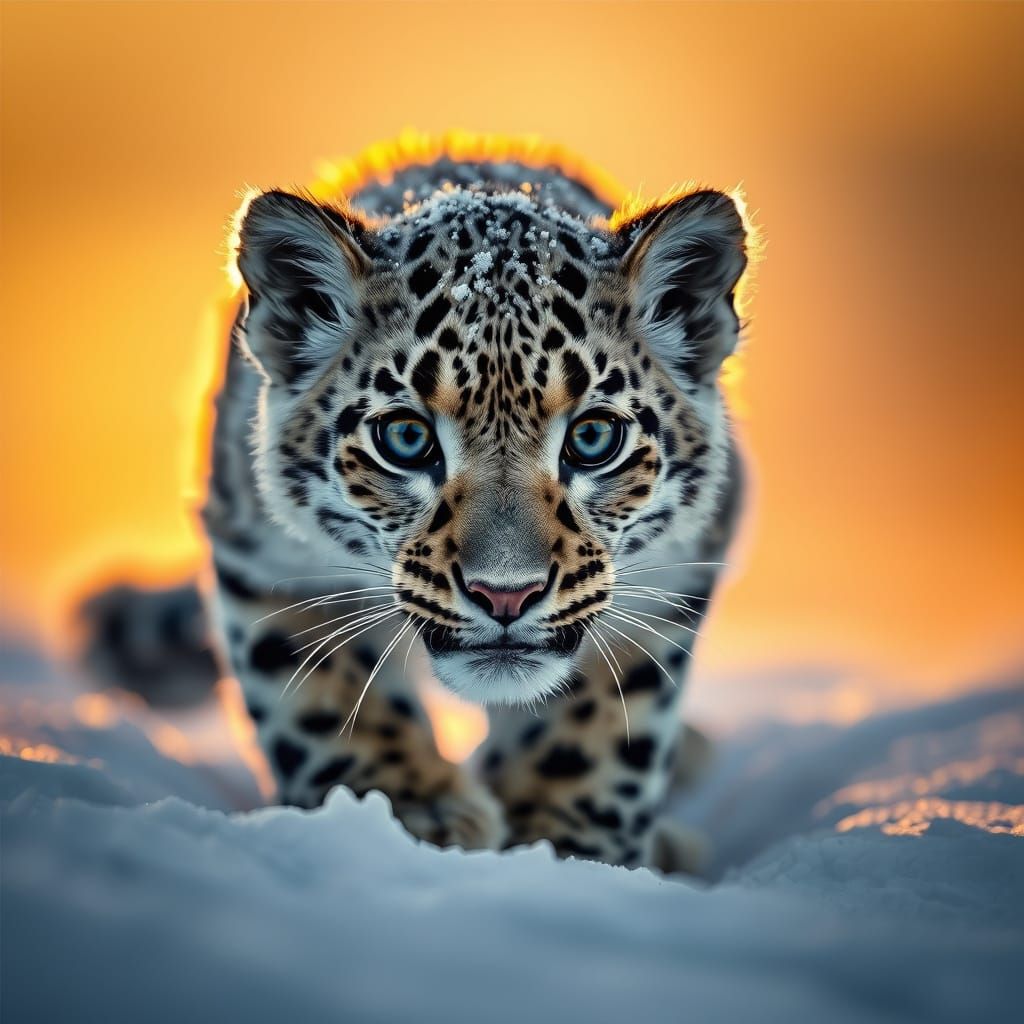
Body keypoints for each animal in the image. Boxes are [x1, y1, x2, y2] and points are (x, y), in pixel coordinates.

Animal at [84, 135, 750, 873]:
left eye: (593, 438)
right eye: (405, 439)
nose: (506, 596)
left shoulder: (677, 570)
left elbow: (602, 713)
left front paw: (567, 840)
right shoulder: (263, 557)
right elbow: (325, 701)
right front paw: (407, 818)